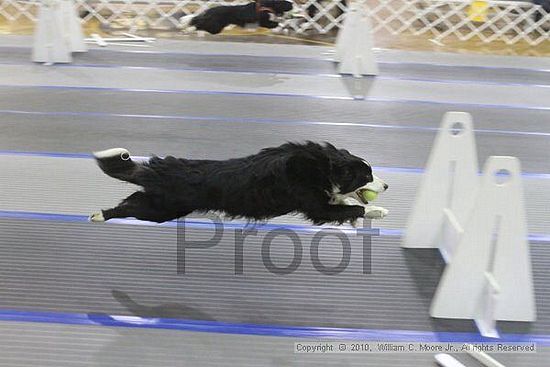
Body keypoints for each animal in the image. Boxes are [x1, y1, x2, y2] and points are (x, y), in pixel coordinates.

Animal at [90, 142, 390, 226]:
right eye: (367, 176)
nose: (387, 186)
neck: (325, 167)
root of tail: (158, 169)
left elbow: (344, 201)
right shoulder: (316, 207)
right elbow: (351, 207)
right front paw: (377, 211)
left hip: (160, 205)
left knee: (130, 201)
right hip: (160, 210)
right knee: (126, 208)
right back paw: (98, 216)